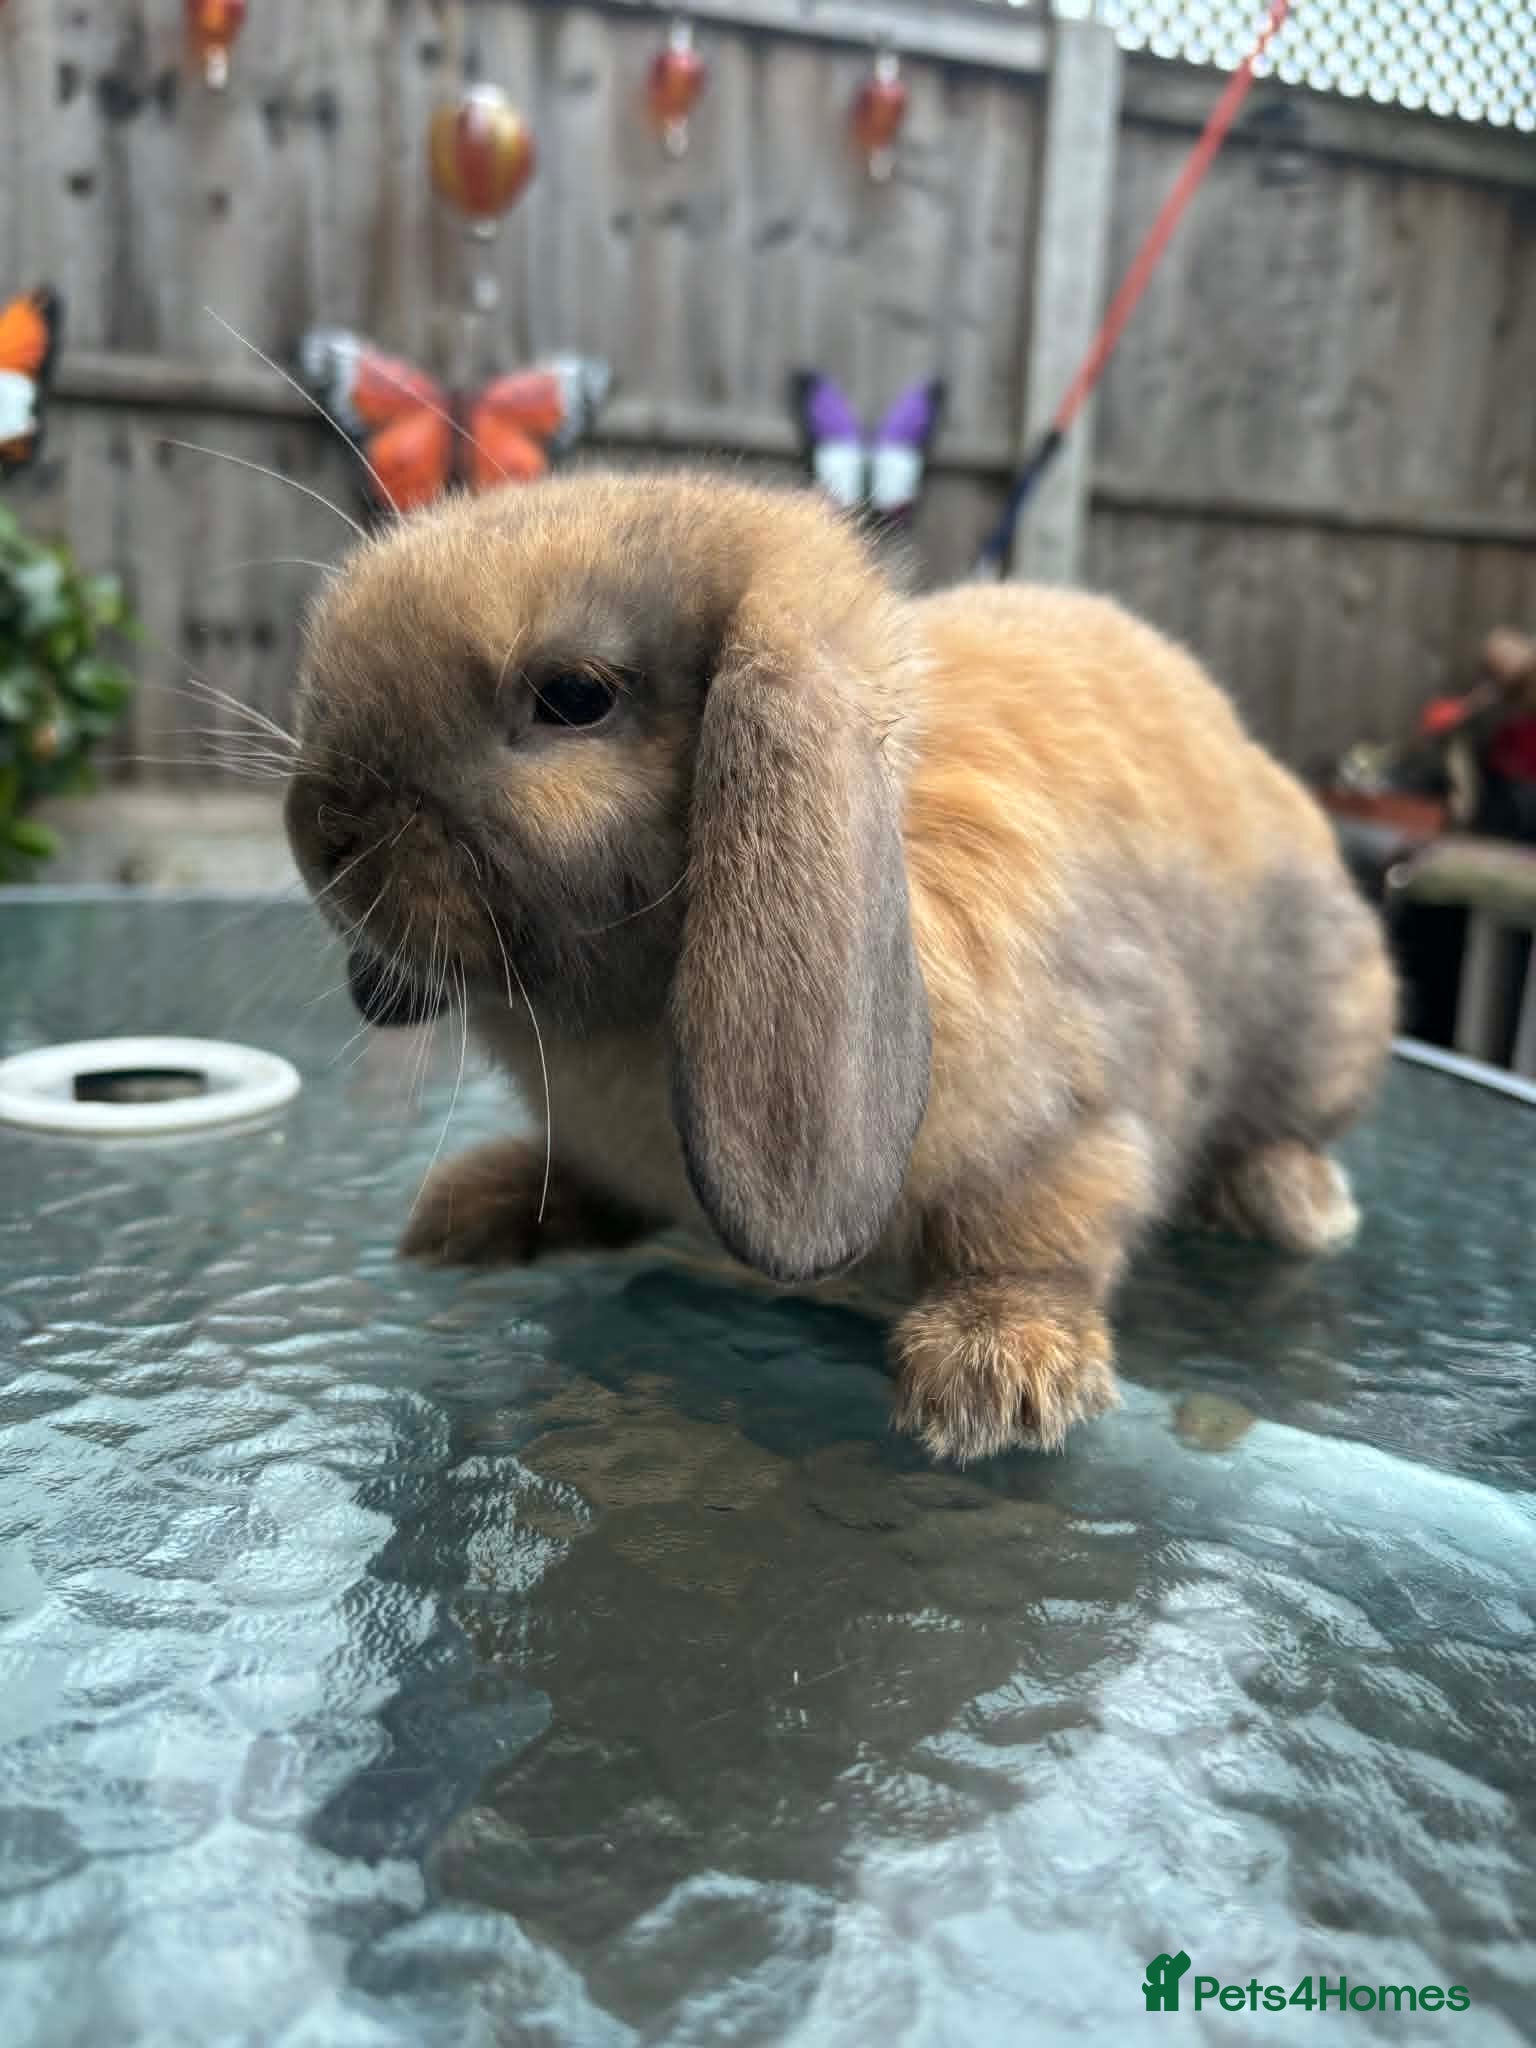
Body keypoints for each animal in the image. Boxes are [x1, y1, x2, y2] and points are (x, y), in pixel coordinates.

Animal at [284, 471, 1396, 1464]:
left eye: (572, 696)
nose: (316, 828)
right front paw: (473, 1209)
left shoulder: (1074, 1122)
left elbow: (1042, 1235)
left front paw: (996, 1371)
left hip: (1328, 1024)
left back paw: (1296, 1202)